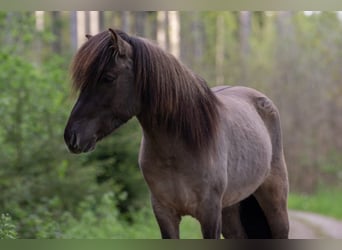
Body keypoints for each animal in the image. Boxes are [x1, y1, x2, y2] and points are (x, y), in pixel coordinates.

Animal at [63, 28, 288, 239]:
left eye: (108, 78)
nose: (71, 136)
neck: (180, 148)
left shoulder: (210, 215)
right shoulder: (164, 213)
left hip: (274, 204)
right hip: (231, 209)